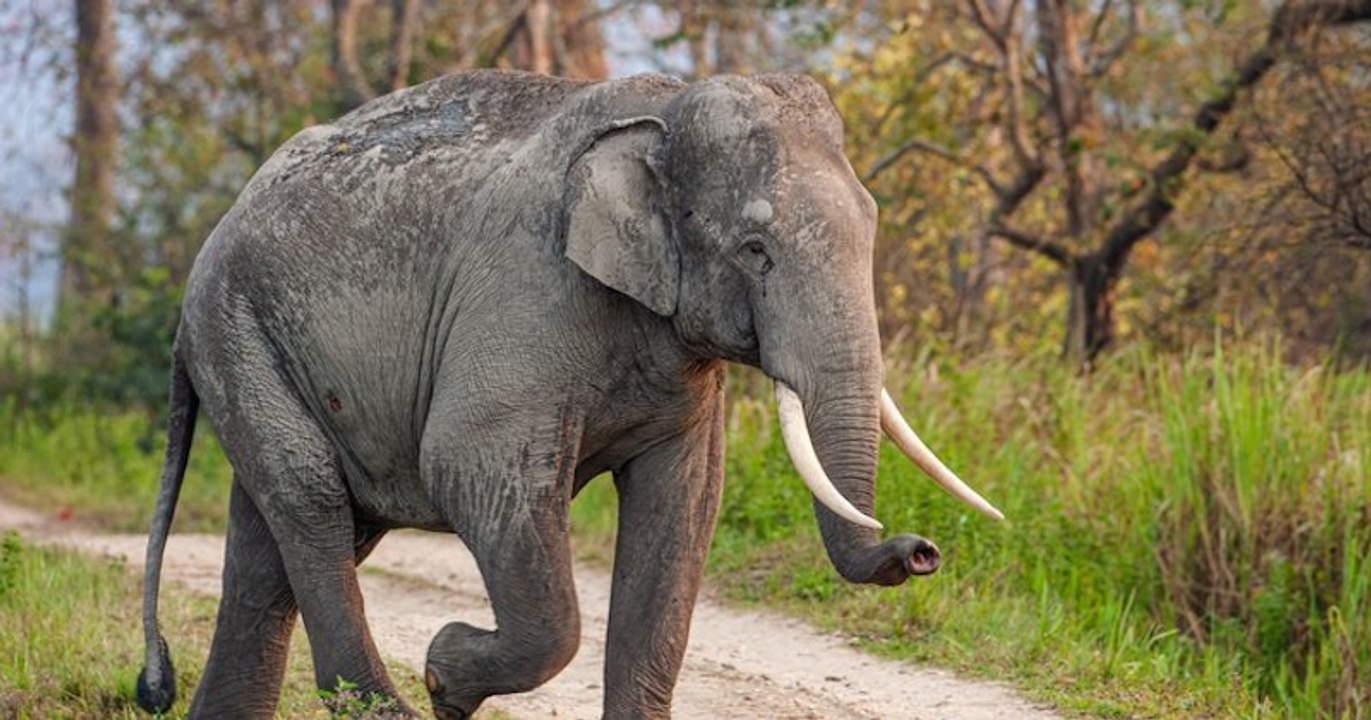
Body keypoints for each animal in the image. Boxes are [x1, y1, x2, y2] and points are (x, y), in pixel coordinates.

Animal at [136, 69, 1002, 720]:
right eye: (755, 249)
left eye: (871, 225)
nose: (919, 549)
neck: (664, 113)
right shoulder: (527, 295)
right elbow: (468, 467)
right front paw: (445, 675)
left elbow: (682, 508)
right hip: (233, 326)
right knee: (313, 502)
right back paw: (391, 706)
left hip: (252, 341)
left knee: (274, 546)